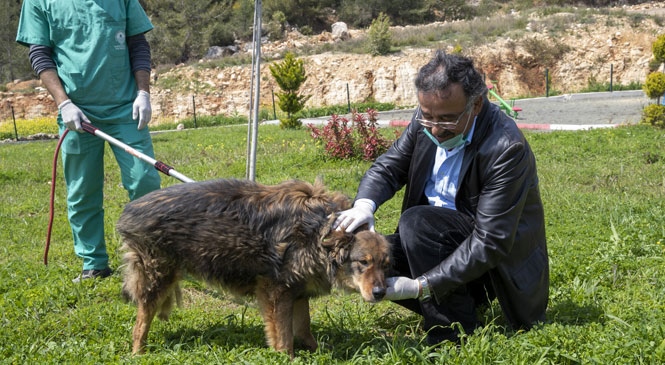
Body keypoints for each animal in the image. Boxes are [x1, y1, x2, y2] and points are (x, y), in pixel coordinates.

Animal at [117, 178, 392, 356]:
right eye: (363, 262)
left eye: (385, 264)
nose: (381, 293)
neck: (320, 230)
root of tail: (128, 210)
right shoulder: (276, 291)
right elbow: (283, 337)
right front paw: (285, 359)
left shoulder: (297, 291)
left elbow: (303, 327)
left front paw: (315, 350)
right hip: (156, 279)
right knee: (139, 326)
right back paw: (138, 354)